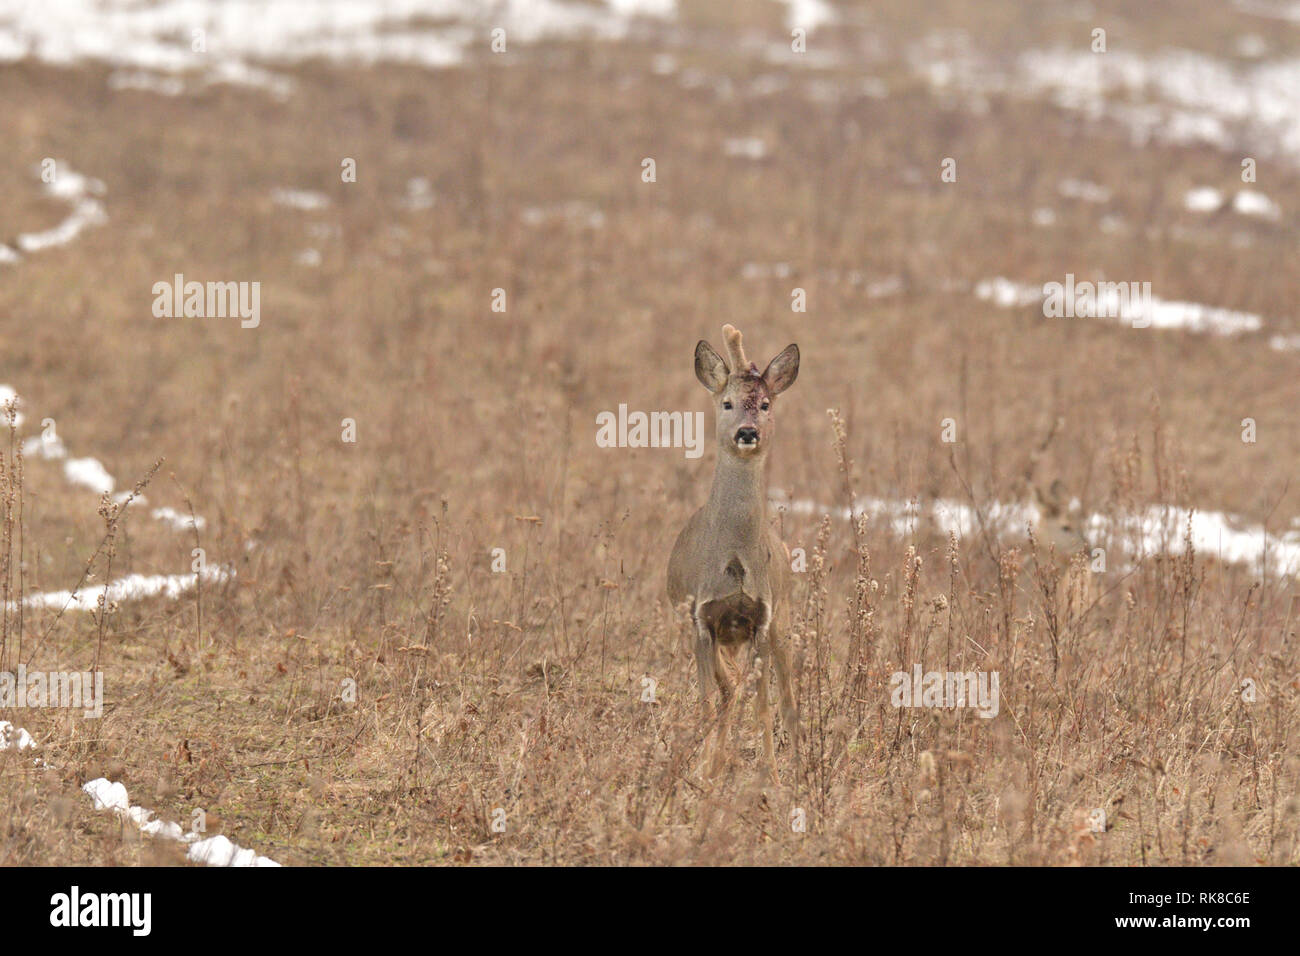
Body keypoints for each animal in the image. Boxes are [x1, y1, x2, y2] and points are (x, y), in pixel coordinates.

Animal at [670, 325, 800, 780]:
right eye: (726, 403)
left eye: (765, 404)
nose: (747, 432)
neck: (734, 560)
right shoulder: (700, 619)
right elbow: (709, 701)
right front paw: (701, 772)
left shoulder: (761, 618)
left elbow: (762, 707)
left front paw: (773, 778)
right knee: (727, 691)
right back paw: (713, 763)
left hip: (783, 620)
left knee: (788, 699)